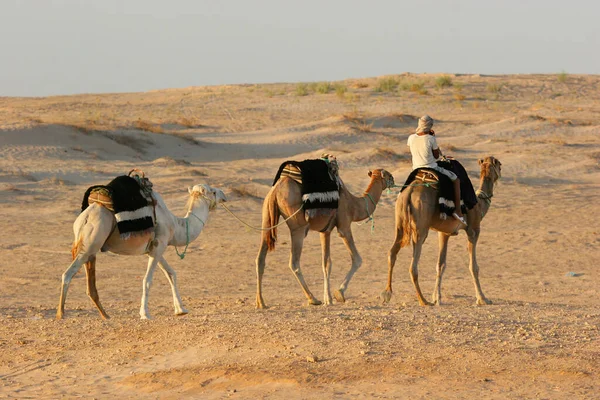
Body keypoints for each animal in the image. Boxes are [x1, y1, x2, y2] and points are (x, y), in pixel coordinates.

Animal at [56, 184, 225, 318]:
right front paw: (145, 314)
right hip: (90, 243)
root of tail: (85, 218)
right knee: (67, 274)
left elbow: (171, 274)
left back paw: (105, 315)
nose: (223, 195)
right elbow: (147, 280)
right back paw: (61, 313)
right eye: (213, 191)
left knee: (90, 285)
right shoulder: (159, 245)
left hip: (90, 247)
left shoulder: (155, 249)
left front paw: (181, 310)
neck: (176, 225)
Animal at [255, 167, 396, 308]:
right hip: (297, 226)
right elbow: (357, 259)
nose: (394, 180)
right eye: (388, 175)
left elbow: (326, 264)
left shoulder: (325, 231)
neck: (354, 205)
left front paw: (328, 298)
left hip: (266, 217)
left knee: (260, 259)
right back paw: (312, 299)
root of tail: (275, 190)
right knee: (293, 262)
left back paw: (260, 302)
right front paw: (339, 293)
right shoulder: (344, 226)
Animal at [380, 156, 502, 306]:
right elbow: (473, 267)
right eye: (499, 165)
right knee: (413, 266)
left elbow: (440, 264)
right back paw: (423, 300)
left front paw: (436, 297)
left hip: (400, 221)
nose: (500, 172)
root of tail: (409, 193)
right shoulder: (473, 230)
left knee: (392, 253)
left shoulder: (444, 233)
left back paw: (387, 293)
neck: (479, 205)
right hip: (421, 227)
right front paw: (483, 298)